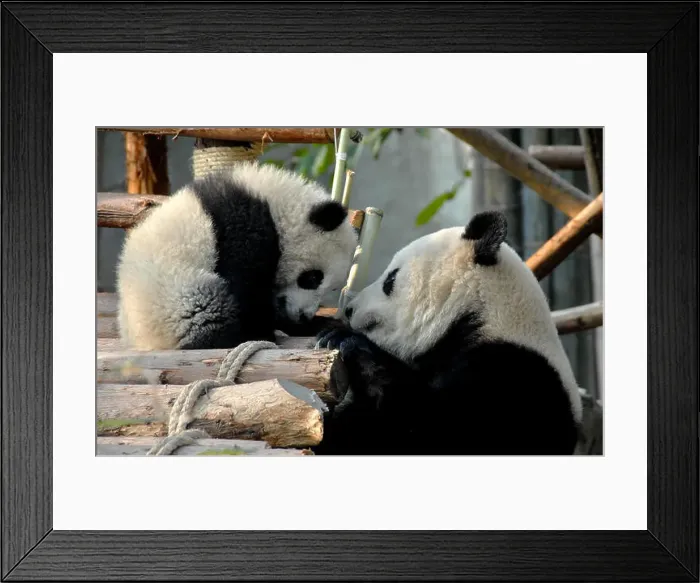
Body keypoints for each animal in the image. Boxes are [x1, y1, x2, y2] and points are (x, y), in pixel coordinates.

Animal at [116, 161, 358, 351]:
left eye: (330, 288)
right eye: (313, 278)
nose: (302, 315)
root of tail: (144, 341)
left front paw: (312, 324)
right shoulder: (244, 224)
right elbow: (247, 283)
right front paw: (264, 330)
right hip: (177, 300)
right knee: (211, 313)